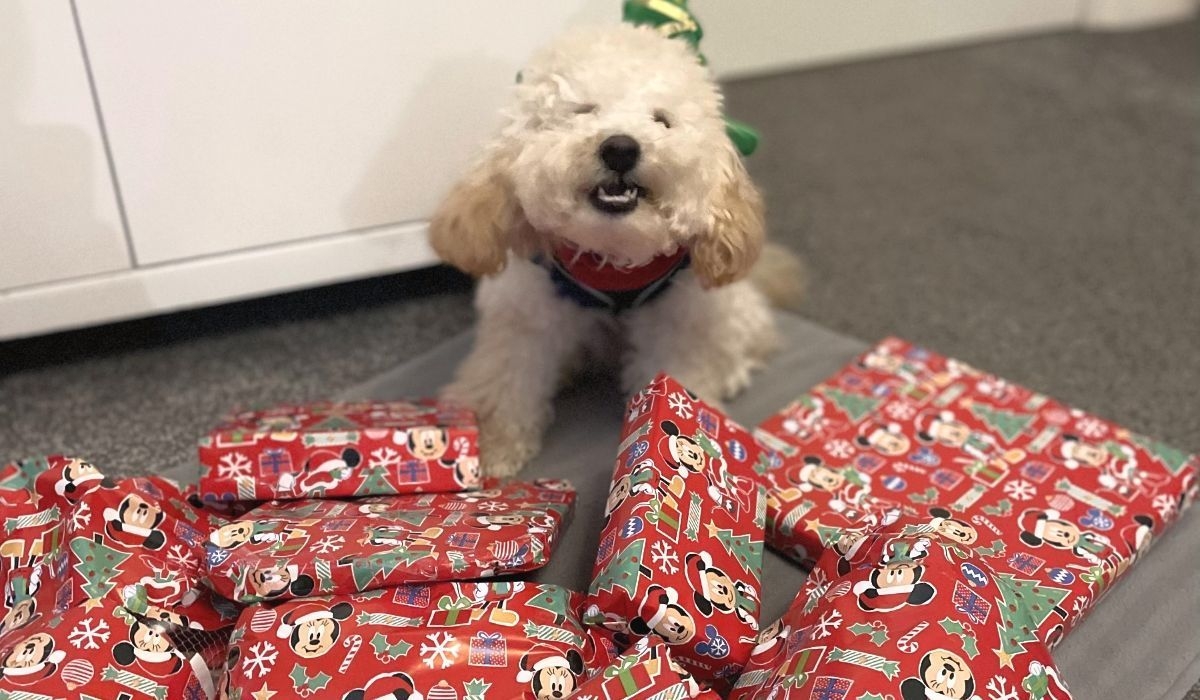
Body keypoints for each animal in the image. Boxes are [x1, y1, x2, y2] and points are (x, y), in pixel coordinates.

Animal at [427, 27, 801, 475]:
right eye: (582, 111)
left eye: (662, 119)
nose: (621, 148)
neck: (611, 257)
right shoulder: (525, 313)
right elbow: (504, 381)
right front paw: (490, 444)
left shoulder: (679, 319)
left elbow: (683, 373)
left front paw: (688, 421)